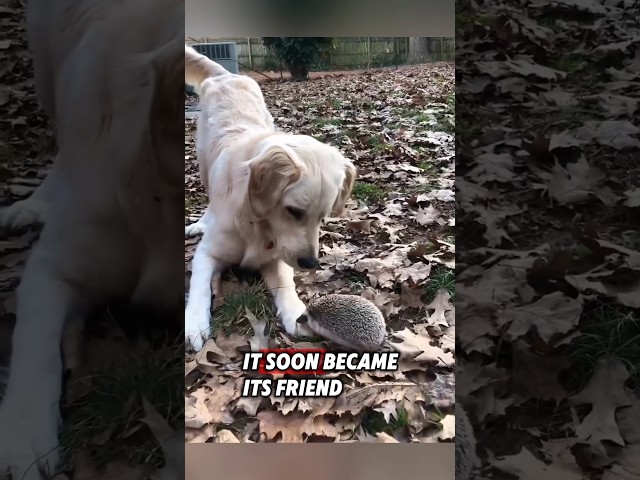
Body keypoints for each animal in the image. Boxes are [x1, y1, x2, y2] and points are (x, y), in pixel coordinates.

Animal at [184, 47, 356, 350]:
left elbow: (285, 283)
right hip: (202, 159)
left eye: (322, 217)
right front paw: (194, 323)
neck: (256, 223)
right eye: (293, 211)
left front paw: (296, 312)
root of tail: (228, 75)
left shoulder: (275, 258)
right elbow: (199, 287)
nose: (310, 263)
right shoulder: (207, 253)